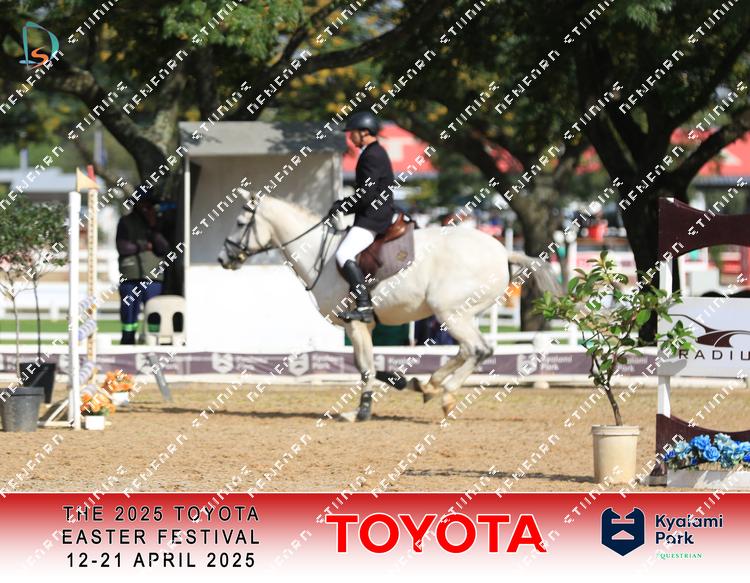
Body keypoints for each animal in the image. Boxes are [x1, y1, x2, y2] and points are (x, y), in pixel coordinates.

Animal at [218, 190, 560, 421]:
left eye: (240, 222)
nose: (223, 259)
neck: (319, 254)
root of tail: (503, 251)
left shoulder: (355, 322)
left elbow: (364, 367)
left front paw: (361, 411)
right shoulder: (365, 324)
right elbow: (369, 364)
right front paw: (404, 381)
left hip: (451, 312)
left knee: (478, 349)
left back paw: (446, 395)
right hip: (460, 314)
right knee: (469, 350)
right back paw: (431, 385)